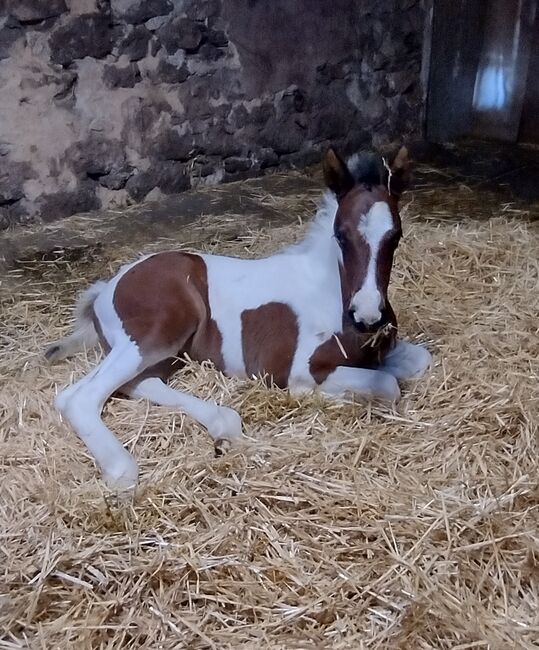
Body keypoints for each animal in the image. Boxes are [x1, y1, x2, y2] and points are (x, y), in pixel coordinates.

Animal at [48, 147, 432, 488]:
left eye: (395, 236)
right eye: (341, 235)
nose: (367, 316)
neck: (331, 291)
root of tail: (107, 287)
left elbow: (416, 363)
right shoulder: (295, 366)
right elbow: (386, 385)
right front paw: (310, 396)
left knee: (134, 383)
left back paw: (223, 423)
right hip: (154, 335)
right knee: (80, 397)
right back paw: (122, 471)